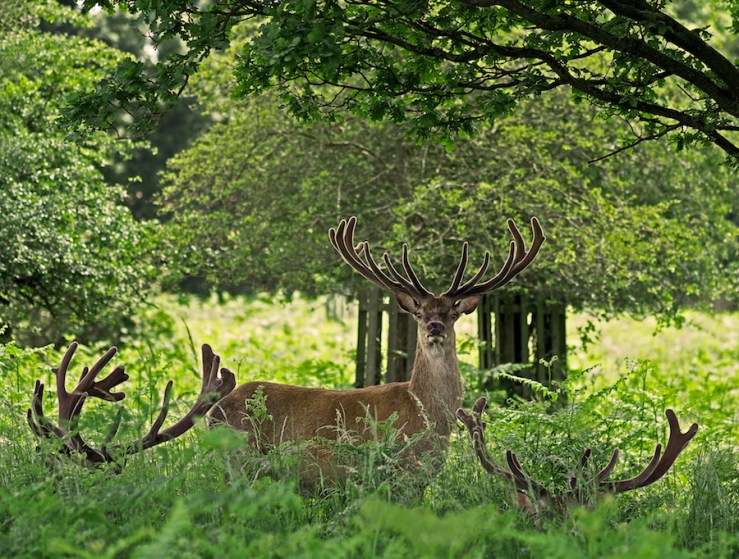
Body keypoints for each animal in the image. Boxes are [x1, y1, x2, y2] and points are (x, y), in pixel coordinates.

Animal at [206, 216, 545, 482]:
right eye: (419, 312)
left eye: (453, 313)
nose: (435, 327)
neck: (425, 414)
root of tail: (213, 413)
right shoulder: (395, 471)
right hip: (241, 456)